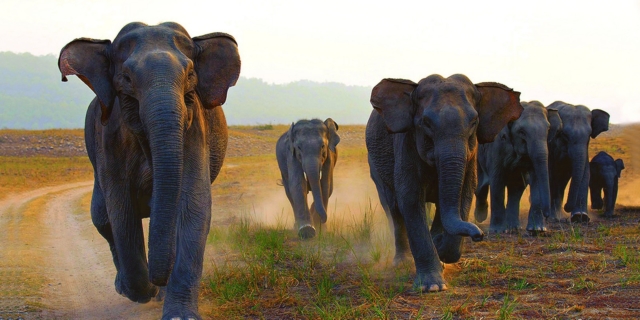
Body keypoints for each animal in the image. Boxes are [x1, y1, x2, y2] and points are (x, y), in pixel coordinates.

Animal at [57, 21, 241, 318]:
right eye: (126, 78)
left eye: (190, 74)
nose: (159, 281)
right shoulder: (111, 139)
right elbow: (121, 212)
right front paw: (143, 292)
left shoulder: (193, 130)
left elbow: (192, 207)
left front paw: (178, 314)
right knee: (102, 218)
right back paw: (126, 287)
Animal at [368, 74, 524, 292]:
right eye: (425, 123)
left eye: (474, 122)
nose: (479, 235)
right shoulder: (406, 143)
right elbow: (410, 199)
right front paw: (432, 286)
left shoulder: (471, 154)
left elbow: (464, 194)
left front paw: (440, 248)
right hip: (375, 166)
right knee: (394, 208)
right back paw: (402, 262)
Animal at [476, 101, 560, 234]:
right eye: (521, 132)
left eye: (548, 129)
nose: (547, 215)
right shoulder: (497, 147)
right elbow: (497, 180)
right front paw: (497, 231)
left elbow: (535, 178)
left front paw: (537, 230)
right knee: (482, 185)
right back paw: (481, 216)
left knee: (517, 187)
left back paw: (513, 228)